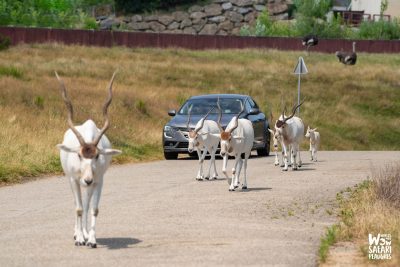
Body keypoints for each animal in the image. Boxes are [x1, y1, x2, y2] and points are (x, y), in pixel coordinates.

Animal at [54, 71, 122, 249]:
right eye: (79, 155)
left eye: (97, 155)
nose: (88, 179)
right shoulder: (74, 180)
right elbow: (78, 208)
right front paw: (79, 239)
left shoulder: (99, 181)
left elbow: (93, 208)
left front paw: (91, 239)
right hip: (74, 181)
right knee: (77, 205)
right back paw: (78, 234)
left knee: (86, 203)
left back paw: (84, 234)